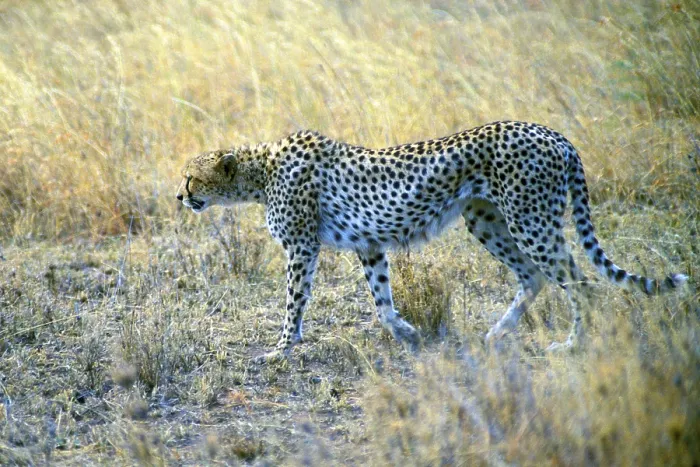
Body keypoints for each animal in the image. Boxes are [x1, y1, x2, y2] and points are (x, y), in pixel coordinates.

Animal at [176, 121, 687, 361]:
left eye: (190, 177)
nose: (179, 196)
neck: (259, 172)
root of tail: (550, 132)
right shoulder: (370, 245)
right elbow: (382, 303)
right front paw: (409, 334)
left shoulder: (302, 247)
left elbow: (293, 302)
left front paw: (280, 349)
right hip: (487, 220)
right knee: (535, 276)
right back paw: (498, 333)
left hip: (529, 219)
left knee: (579, 282)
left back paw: (574, 344)